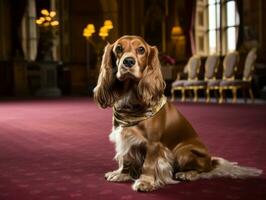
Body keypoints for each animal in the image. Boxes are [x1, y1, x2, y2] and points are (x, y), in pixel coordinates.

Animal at [93, 35, 262, 192]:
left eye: (141, 50)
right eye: (118, 49)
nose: (128, 62)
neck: (131, 98)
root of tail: (211, 161)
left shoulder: (153, 143)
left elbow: (148, 164)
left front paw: (145, 182)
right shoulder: (126, 137)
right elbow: (126, 157)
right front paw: (122, 174)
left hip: (183, 152)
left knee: (203, 172)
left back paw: (187, 174)